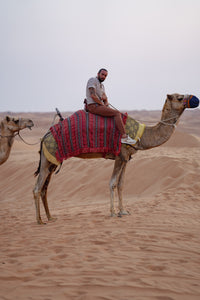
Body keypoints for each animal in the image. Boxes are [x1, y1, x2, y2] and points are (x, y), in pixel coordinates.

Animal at [32, 93, 198, 223]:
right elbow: (112, 183)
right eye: (180, 97)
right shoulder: (120, 155)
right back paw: (40, 220)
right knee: (37, 189)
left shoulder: (126, 158)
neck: (141, 136)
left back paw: (50, 217)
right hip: (47, 159)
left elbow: (121, 184)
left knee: (44, 189)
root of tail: (45, 136)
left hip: (53, 162)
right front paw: (112, 212)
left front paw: (123, 211)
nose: (196, 99)